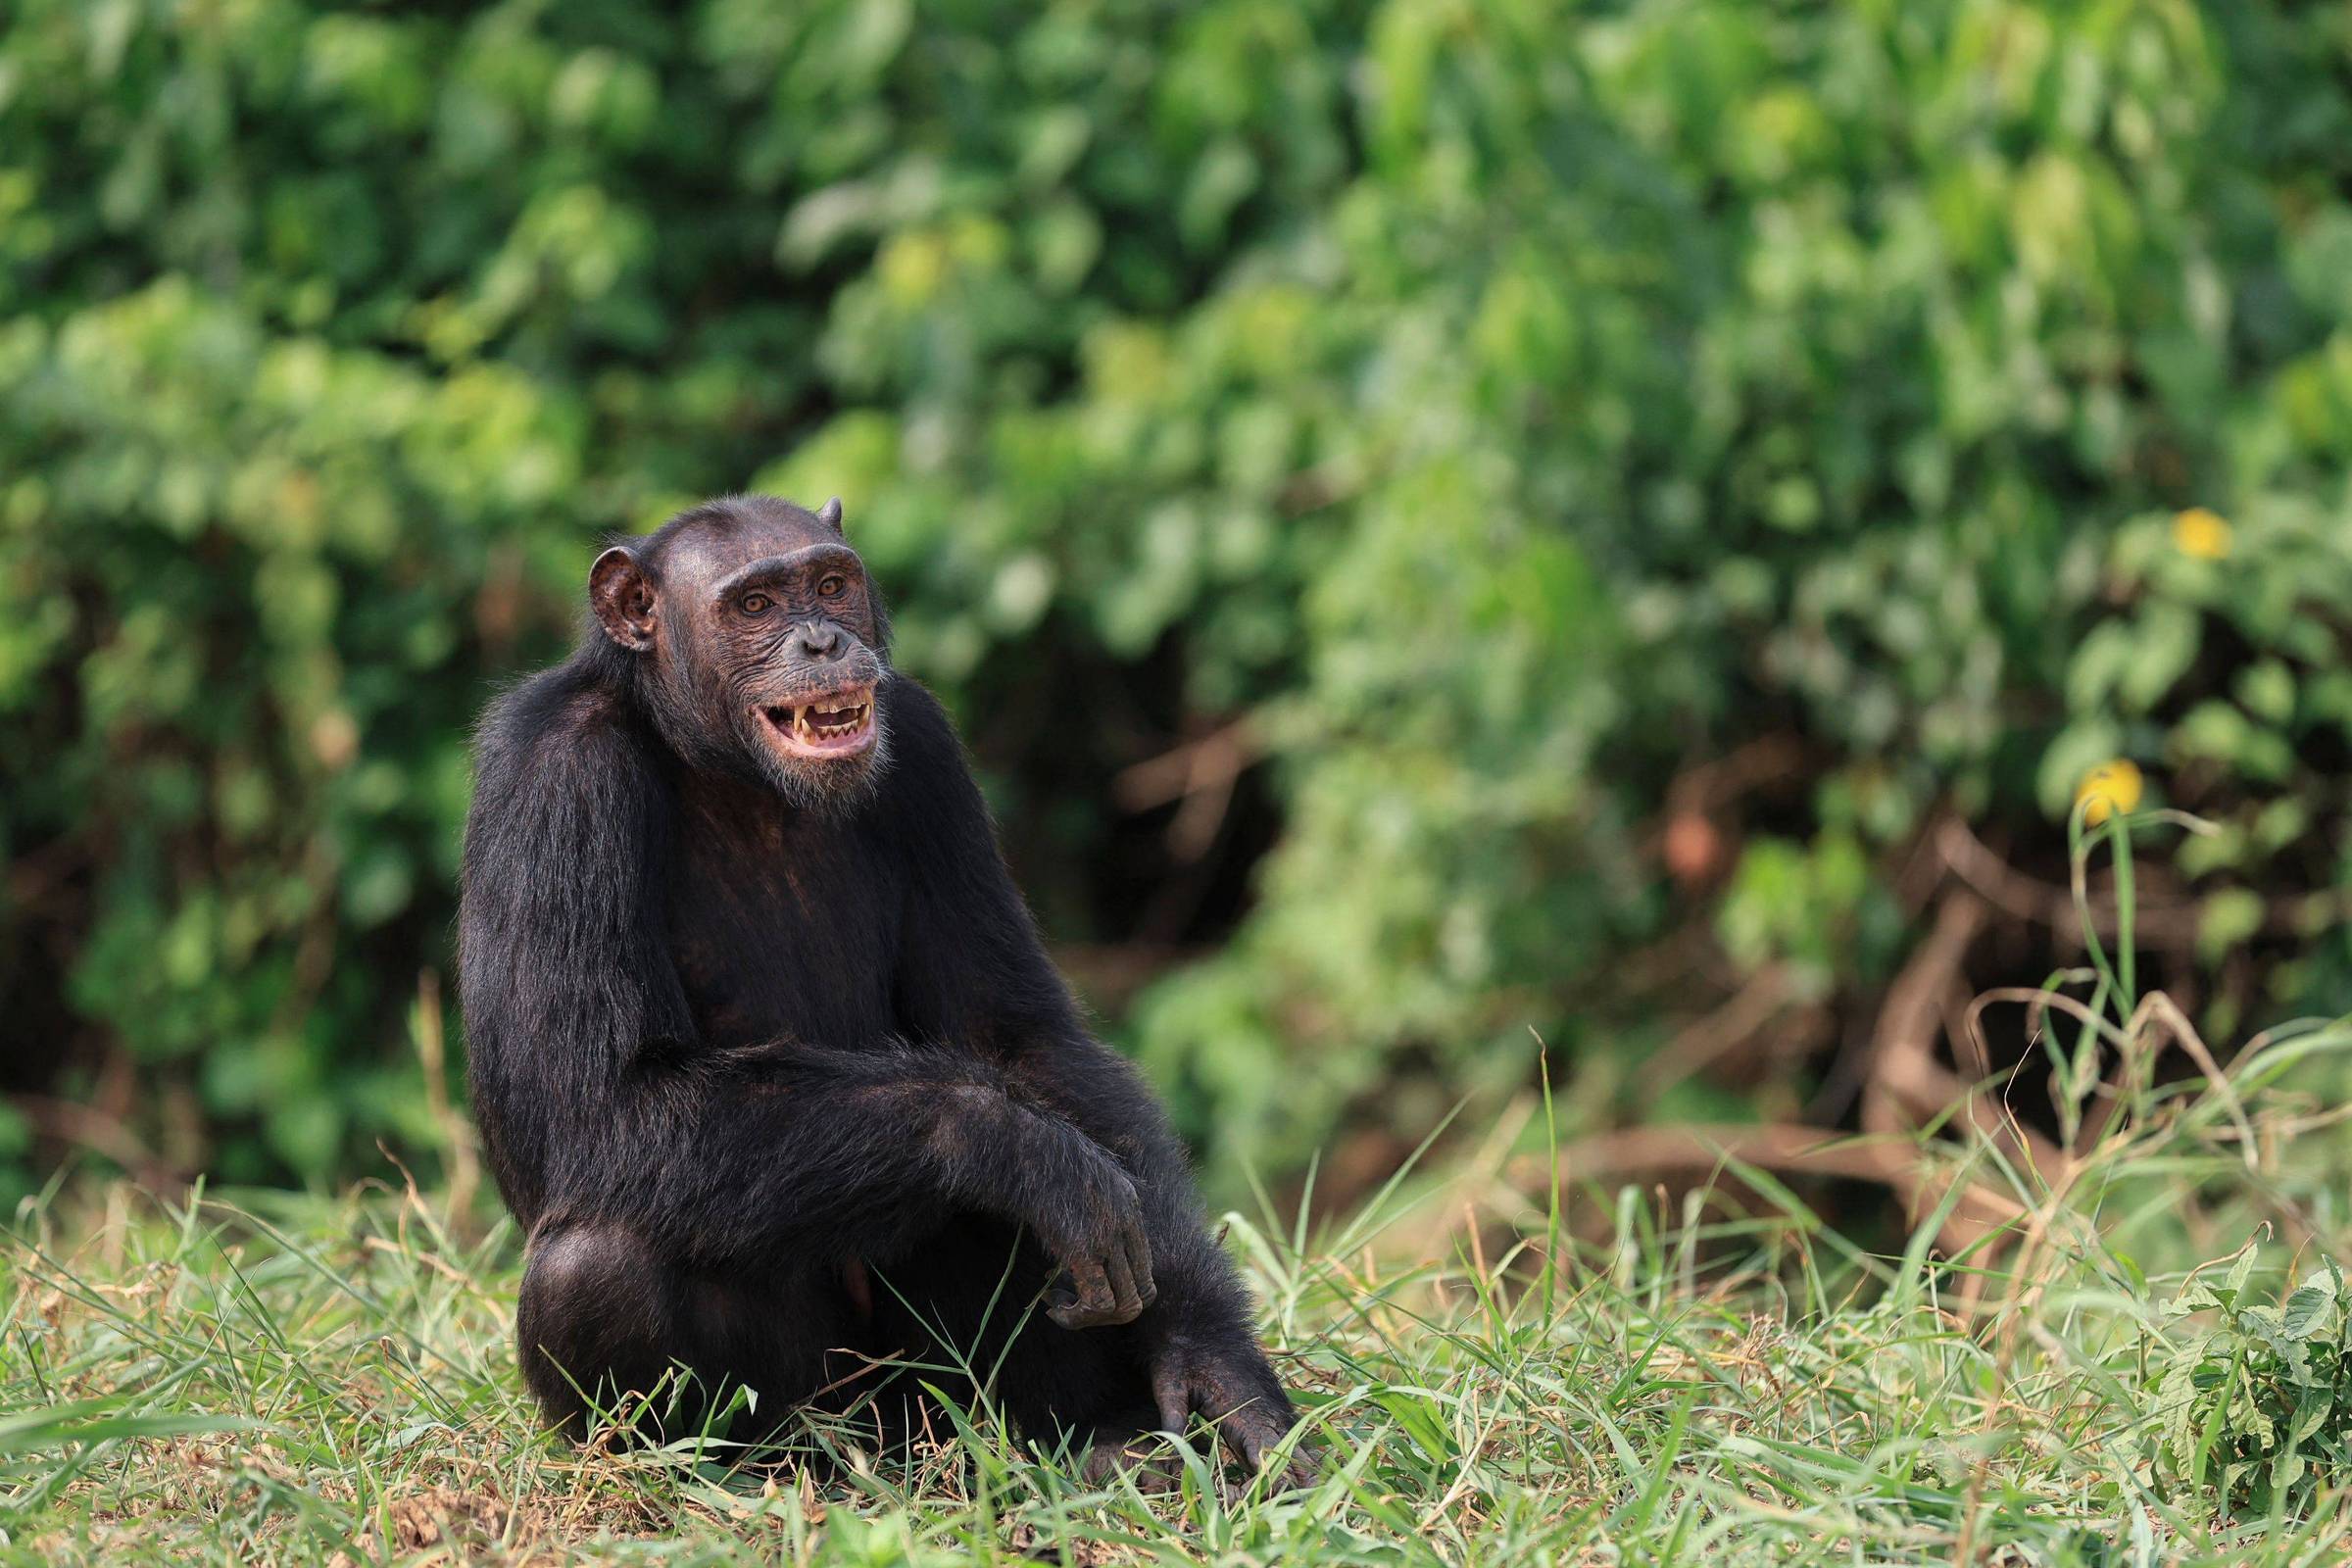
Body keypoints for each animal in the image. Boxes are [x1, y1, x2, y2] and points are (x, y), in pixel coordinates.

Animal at [459, 493, 1307, 1486]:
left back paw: (1101, 1437)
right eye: (754, 606)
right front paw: (1018, 1147)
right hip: (816, 1412)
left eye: (831, 584)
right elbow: (602, 1100)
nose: (824, 639)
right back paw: (727, 1478)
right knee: (600, 1258)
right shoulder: (556, 781)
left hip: (938, 1404)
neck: (729, 770)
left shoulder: (929, 750)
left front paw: (1213, 1361)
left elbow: (1019, 1037)